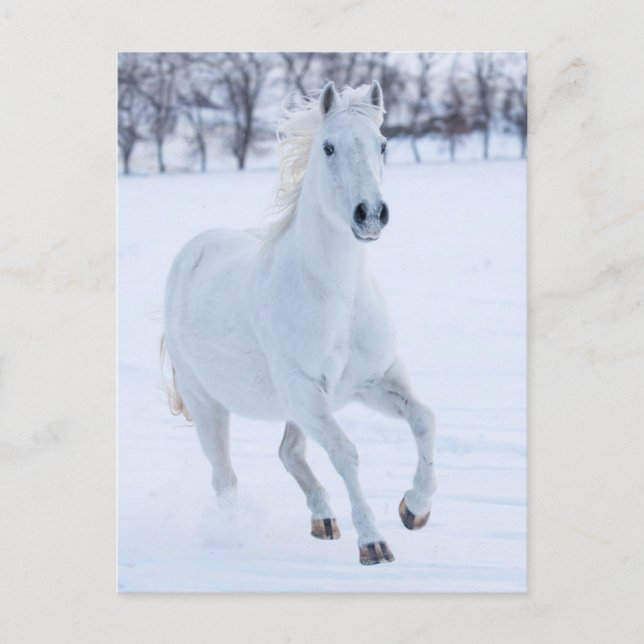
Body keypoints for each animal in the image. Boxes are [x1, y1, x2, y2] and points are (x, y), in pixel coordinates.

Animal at [162, 80, 437, 565]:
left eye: (383, 144)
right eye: (328, 147)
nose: (371, 214)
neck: (338, 300)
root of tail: (192, 251)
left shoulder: (374, 382)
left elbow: (424, 421)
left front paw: (414, 509)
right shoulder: (307, 392)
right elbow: (345, 453)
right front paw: (373, 543)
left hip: (292, 407)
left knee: (288, 453)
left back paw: (323, 520)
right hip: (209, 403)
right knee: (225, 479)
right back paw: (231, 538)